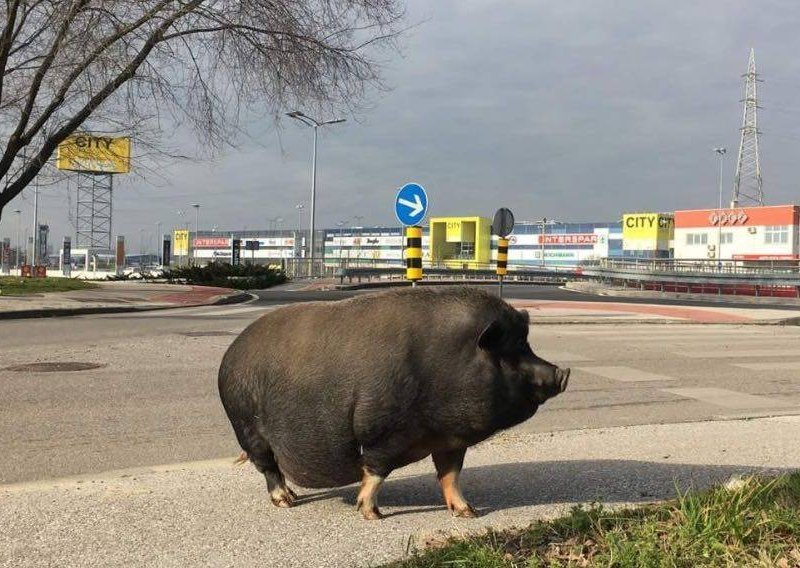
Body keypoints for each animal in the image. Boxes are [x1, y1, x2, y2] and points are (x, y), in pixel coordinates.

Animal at [216, 288, 572, 520]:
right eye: (510, 350)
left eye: (526, 344)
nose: (562, 373)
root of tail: (231, 354)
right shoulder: (382, 431)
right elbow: (376, 470)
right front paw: (372, 514)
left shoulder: (450, 440)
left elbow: (450, 475)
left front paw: (468, 513)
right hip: (248, 428)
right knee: (268, 467)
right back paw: (286, 502)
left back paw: (291, 497)